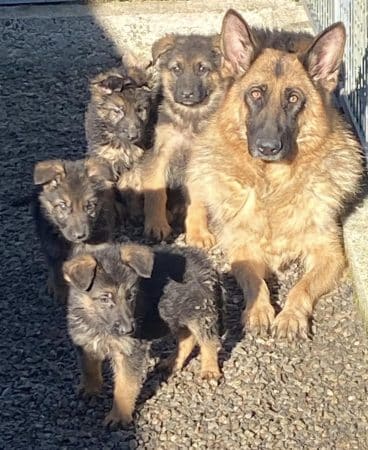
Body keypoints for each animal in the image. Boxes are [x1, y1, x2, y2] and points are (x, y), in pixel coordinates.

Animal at [63, 244, 221, 428]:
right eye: (105, 298)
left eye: (130, 295)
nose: (129, 330)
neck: (97, 322)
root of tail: (206, 262)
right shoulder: (84, 342)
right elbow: (88, 367)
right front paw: (91, 389)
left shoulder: (130, 351)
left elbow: (125, 385)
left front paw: (119, 415)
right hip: (176, 315)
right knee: (187, 337)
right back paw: (172, 362)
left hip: (199, 313)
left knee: (208, 341)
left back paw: (210, 370)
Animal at [142, 33, 230, 241]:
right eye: (177, 69)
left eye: (202, 69)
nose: (187, 94)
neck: (190, 118)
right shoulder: (158, 156)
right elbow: (156, 193)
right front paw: (157, 225)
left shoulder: (197, 163)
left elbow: (197, 202)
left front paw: (198, 233)